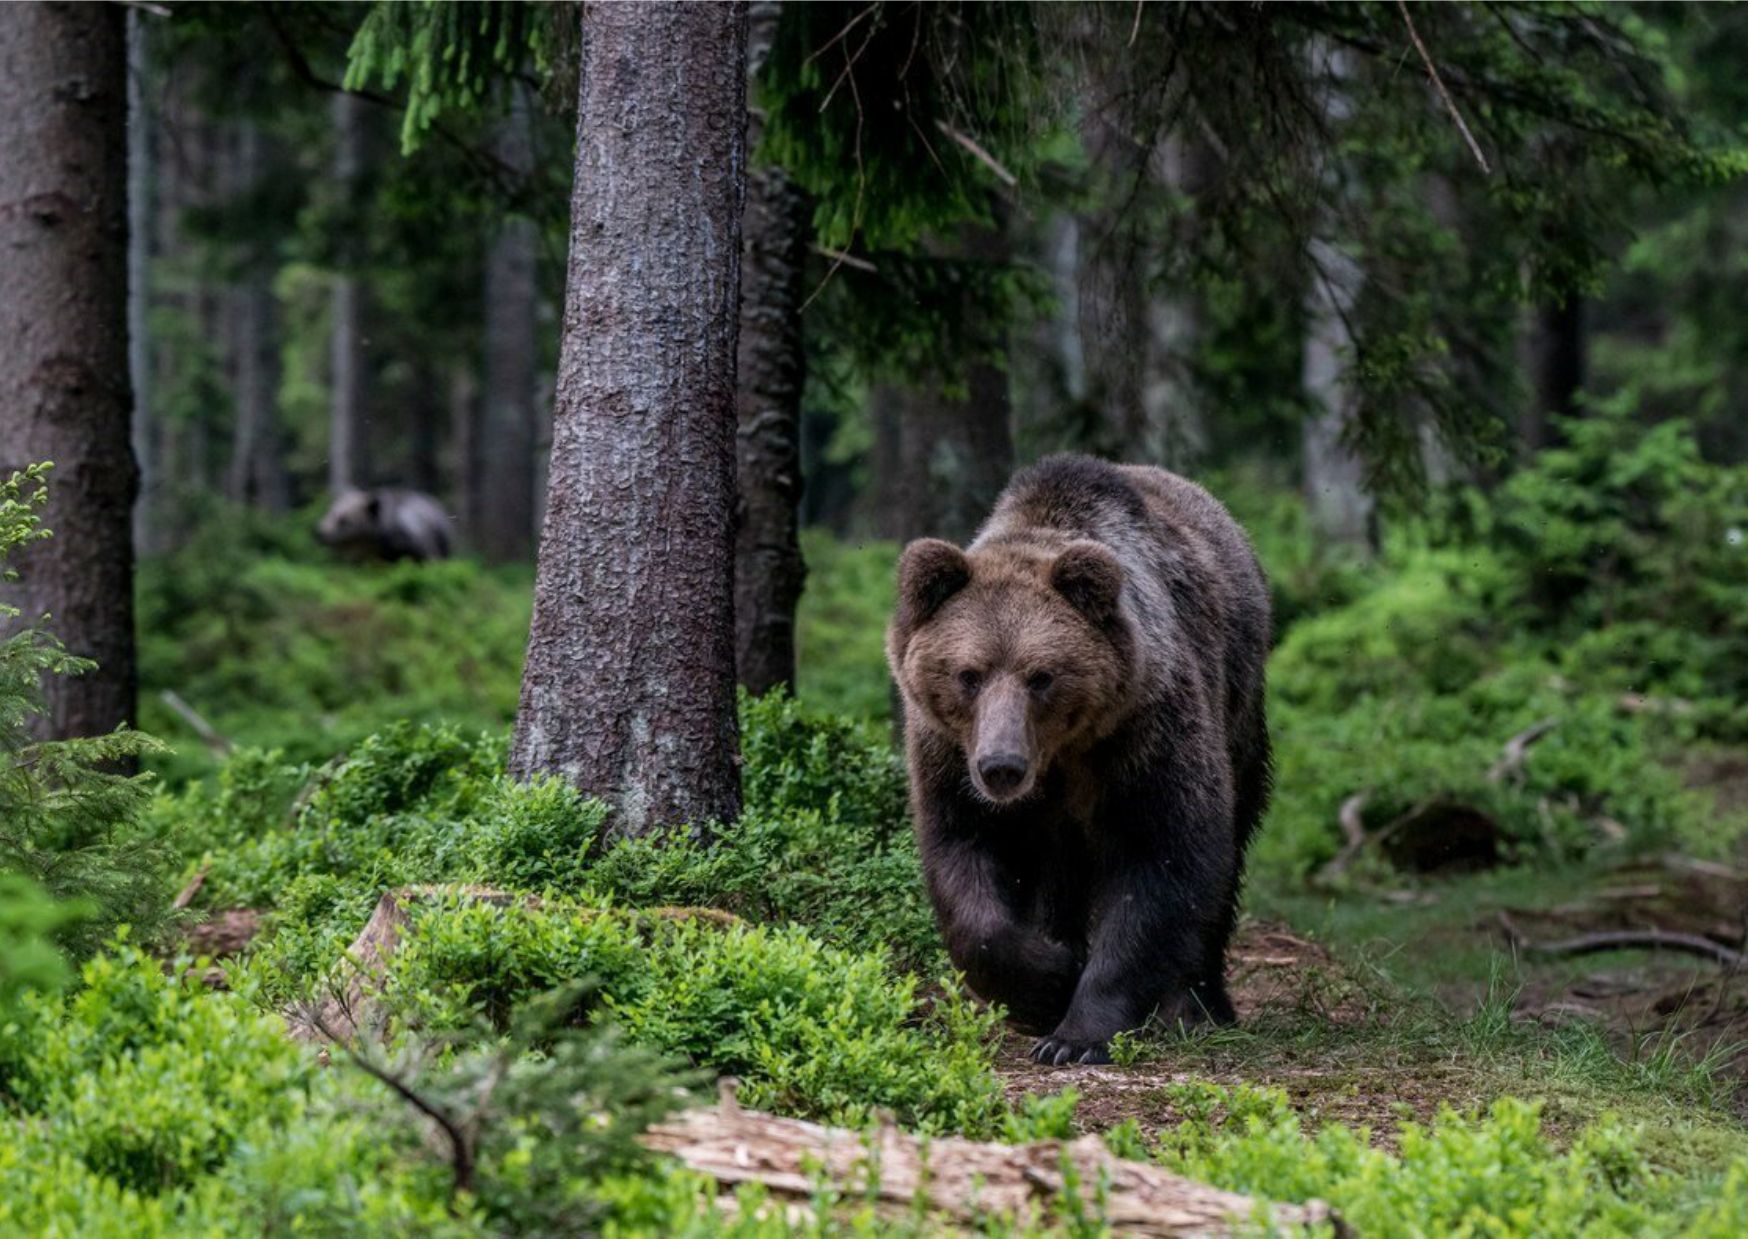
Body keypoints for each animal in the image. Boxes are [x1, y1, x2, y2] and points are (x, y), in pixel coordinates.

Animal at [887, 454, 1272, 1062]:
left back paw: (1199, 1005)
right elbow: (965, 863)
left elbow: (1163, 858)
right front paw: (1047, 980)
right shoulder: (949, 757)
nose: (1001, 766)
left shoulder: (1145, 738)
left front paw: (1076, 1035)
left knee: (1228, 852)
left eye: (1041, 676)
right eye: (969, 674)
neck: (1061, 757)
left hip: (1239, 713)